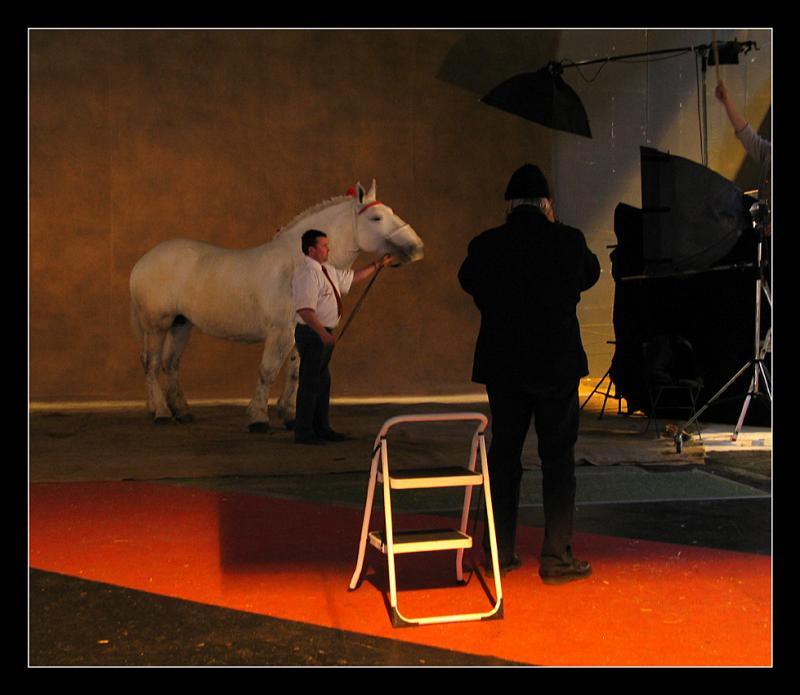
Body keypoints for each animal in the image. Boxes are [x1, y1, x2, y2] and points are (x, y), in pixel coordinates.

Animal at [130, 179, 424, 430]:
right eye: (376, 218)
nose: (417, 248)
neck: (297, 265)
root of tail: (142, 262)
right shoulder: (280, 332)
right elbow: (268, 371)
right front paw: (258, 417)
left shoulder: (302, 331)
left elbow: (295, 372)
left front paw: (290, 416)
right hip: (157, 325)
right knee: (152, 363)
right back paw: (161, 413)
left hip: (181, 324)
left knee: (170, 364)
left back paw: (181, 411)